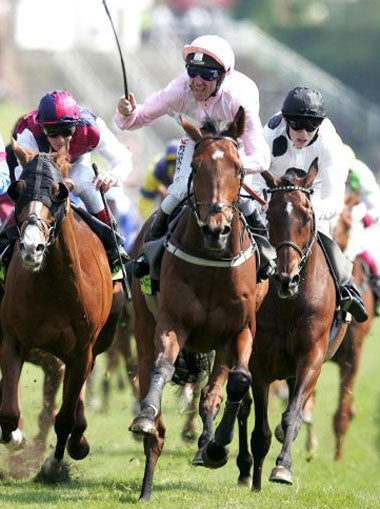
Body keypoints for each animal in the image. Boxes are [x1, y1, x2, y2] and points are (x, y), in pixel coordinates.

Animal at [0, 143, 116, 480]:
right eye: (17, 190)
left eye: (60, 192)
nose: (31, 247)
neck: (53, 285)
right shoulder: (13, 340)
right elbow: (8, 412)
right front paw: (16, 438)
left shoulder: (81, 351)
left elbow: (63, 417)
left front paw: (53, 464)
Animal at [129, 107, 262, 500]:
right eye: (196, 168)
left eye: (239, 169)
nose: (216, 229)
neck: (213, 263)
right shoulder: (172, 322)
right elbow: (161, 366)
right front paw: (147, 417)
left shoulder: (241, 329)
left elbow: (239, 382)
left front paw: (217, 446)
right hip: (144, 324)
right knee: (149, 371)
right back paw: (147, 483)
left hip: (220, 342)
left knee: (213, 392)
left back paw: (208, 443)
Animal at [236, 162, 348, 488]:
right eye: (270, 214)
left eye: (307, 216)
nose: (287, 278)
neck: (289, 303)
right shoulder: (260, 362)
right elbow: (259, 428)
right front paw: (256, 480)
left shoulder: (312, 356)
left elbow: (292, 415)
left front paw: (283, 467)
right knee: (242, 407)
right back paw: (242, 466)